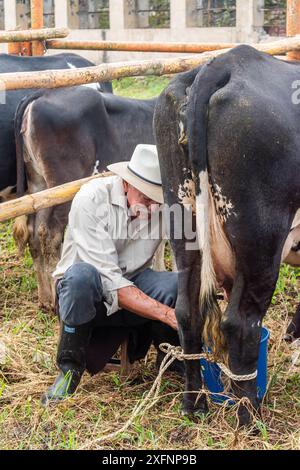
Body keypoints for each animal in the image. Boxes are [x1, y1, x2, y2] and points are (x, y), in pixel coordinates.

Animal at [155, 46, 300, 428]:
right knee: (241, 322)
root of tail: (227, 61)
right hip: (260, 240)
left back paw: (194, 404)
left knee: (187, 311)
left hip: (183, 221)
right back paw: (250, 417)